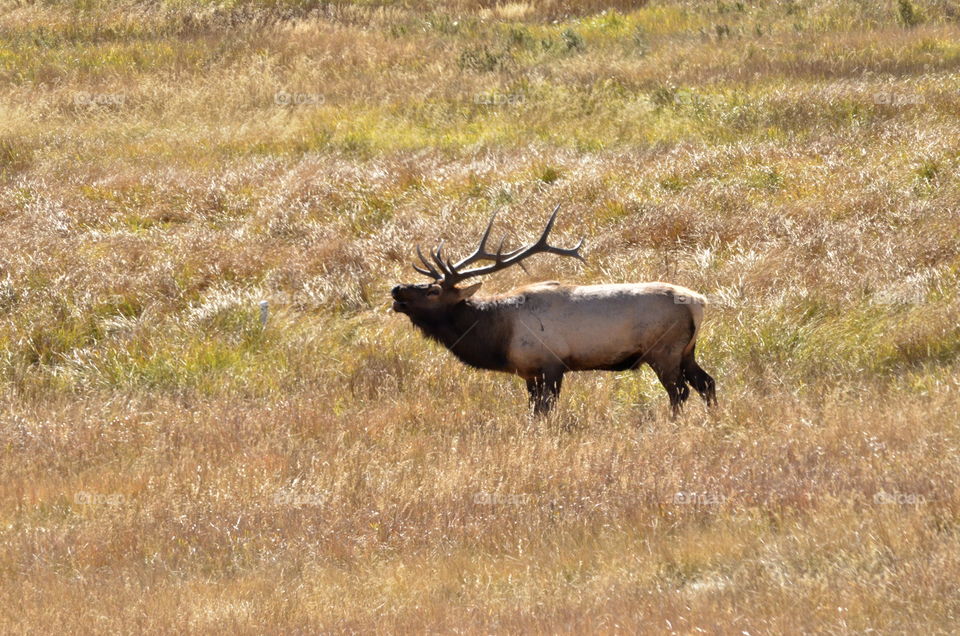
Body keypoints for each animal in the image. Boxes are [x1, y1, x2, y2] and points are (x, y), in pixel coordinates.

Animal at [390, 205, 717, 416]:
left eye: (433, 291)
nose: (396, 290)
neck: (497, 336)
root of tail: (698, 302)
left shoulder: (552, 363)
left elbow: (545, 410)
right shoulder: (529, 372)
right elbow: (533, 411)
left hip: (664, 350)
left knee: (680, 391)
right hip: (687, 351)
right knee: (707, 383)